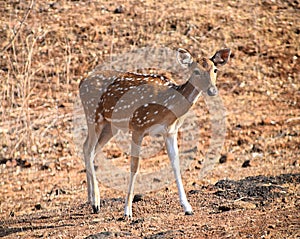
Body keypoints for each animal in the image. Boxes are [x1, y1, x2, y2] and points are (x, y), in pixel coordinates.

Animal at [79, 47, 230, 218]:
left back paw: (91, 199)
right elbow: (134, 166)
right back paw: (96, 202)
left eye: (215, 69)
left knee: (90, 150)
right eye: (196, 71)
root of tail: (81, 81)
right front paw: (127, 211)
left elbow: (176, 164)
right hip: (93, 116)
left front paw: (187, 207)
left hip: (110, 126)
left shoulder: (170, 132)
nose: (212, 90)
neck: (168, 107)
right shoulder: (138, 125)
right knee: (88, 148)